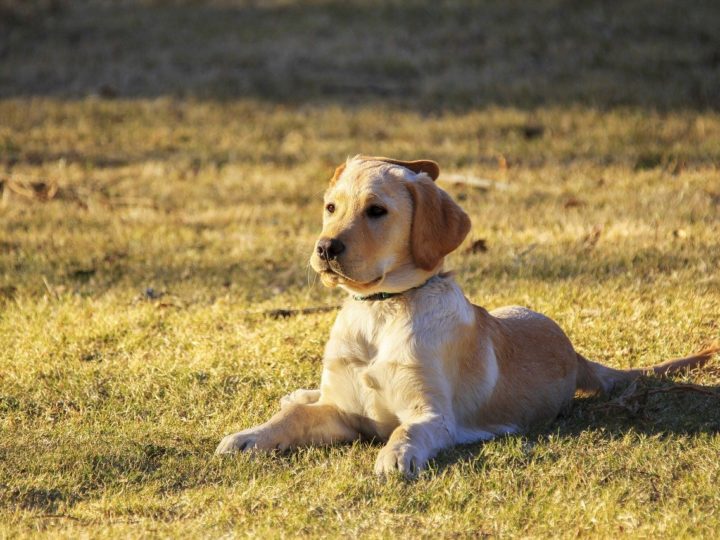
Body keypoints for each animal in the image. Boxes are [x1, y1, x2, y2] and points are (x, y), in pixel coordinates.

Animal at [215, 154, 720, 474]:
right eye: (330, 207)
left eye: (377, 211)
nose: (324, 248)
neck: (381, 311)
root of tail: (575, 354)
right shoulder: (340, 411)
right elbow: (293, 420)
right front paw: (248, 437)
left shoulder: (432, 415)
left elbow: (406, 432)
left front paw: (395, 456)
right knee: (303, 399)